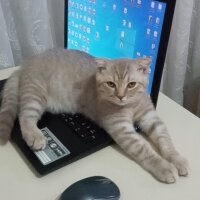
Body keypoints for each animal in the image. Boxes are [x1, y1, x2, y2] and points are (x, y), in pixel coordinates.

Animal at [0, 48, 189, 183]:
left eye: (131, 84)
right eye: (111, 84)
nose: (120, 96)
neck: (130, 106)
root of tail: (25, 64)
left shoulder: (151, 118)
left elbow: (165, 140)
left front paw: (177, 159)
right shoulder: (121, 127)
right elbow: (143, 149)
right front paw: (163, 167)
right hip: (36, 94)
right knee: (25, 115)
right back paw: (35, 135)